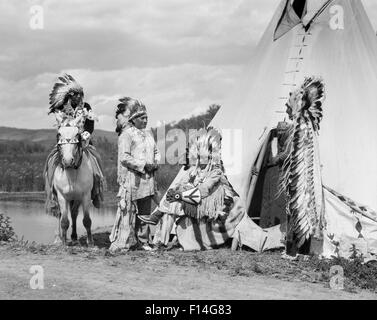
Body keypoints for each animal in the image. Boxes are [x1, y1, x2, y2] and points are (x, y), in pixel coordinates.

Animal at [52, 116, 94, 246]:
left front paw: (90, 243)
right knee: (61, 215)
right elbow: (64, 221)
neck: (72, 173)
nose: (67, 161)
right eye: (58, 134)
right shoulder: (62, 196)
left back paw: (74, 236)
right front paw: (64, 243)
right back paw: (60, 238)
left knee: (74, 213)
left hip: (77, 198)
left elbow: (86, 220)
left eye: (78, 135)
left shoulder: (85, 196)